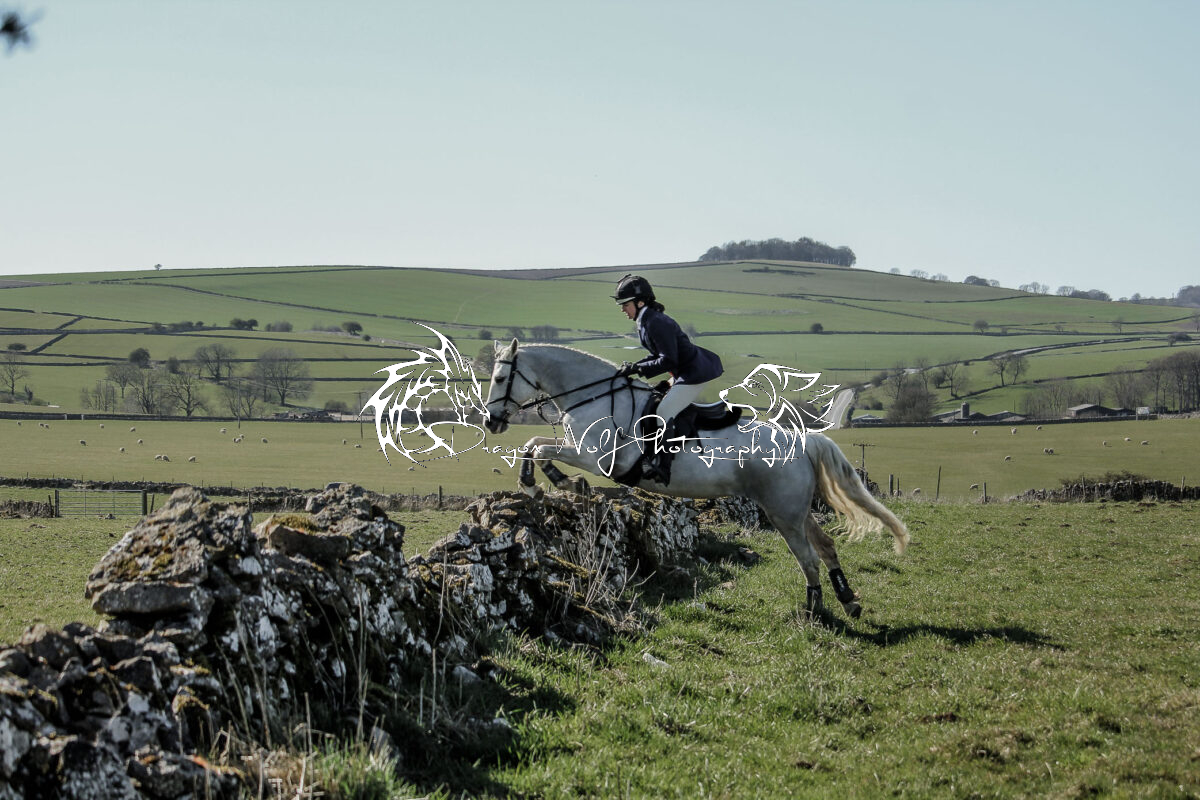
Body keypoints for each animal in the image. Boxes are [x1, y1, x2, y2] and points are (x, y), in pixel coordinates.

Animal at [482, 339, 910, 618]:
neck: (592, 396)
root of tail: (802, 440)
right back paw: (848, 600)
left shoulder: (596, 457)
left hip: (783, 513)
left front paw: (553, 482)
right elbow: (534, 444)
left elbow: (539, 449)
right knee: (825, 548)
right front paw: (548, 482)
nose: (491, 422)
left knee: (808, 557)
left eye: (501, 378)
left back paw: (813, 609)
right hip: (796, 510)